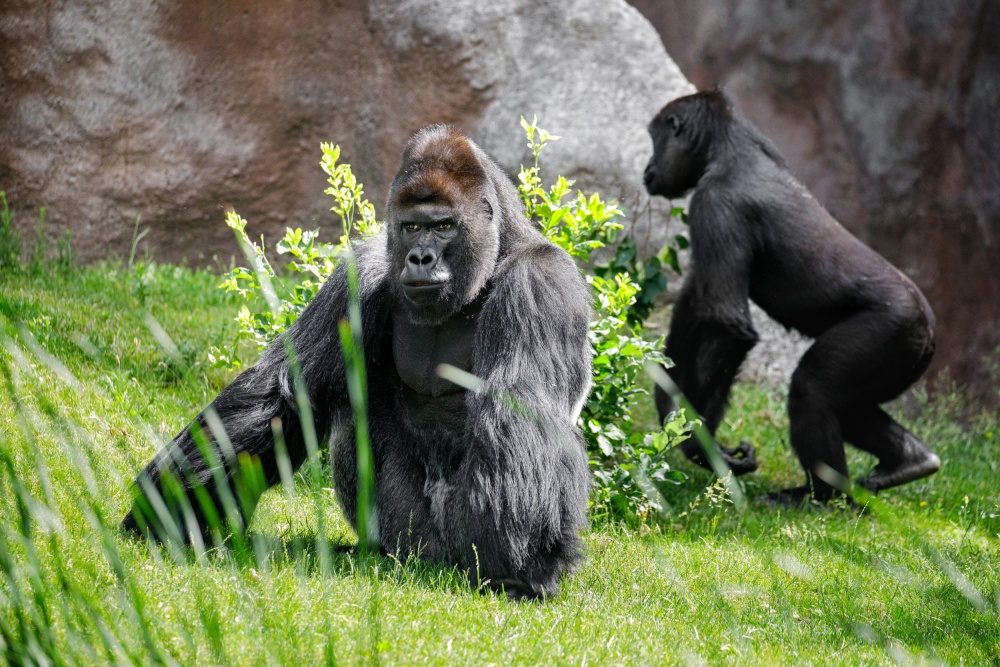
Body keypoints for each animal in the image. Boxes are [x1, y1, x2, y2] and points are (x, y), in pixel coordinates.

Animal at [124, 126, 592, 600]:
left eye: (444, 227)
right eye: (412, 227)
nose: (420, 257)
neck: (495, 258)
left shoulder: (539, 282)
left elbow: (517, 411)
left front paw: (524, 563)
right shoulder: (361, 274)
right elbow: (283, 393)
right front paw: (170, 507)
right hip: (409, 542)